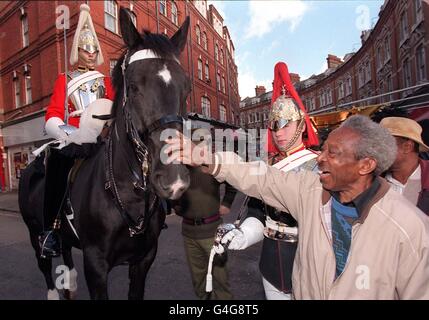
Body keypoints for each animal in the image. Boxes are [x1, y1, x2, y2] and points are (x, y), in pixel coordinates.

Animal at [18, 8, 190, 300]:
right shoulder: (96, 264)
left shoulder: (144, 259)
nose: (173, 179)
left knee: (66, 254)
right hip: (33, 232)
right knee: (44, 263)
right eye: (133, 86)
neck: (127, 191)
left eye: (186, 88)